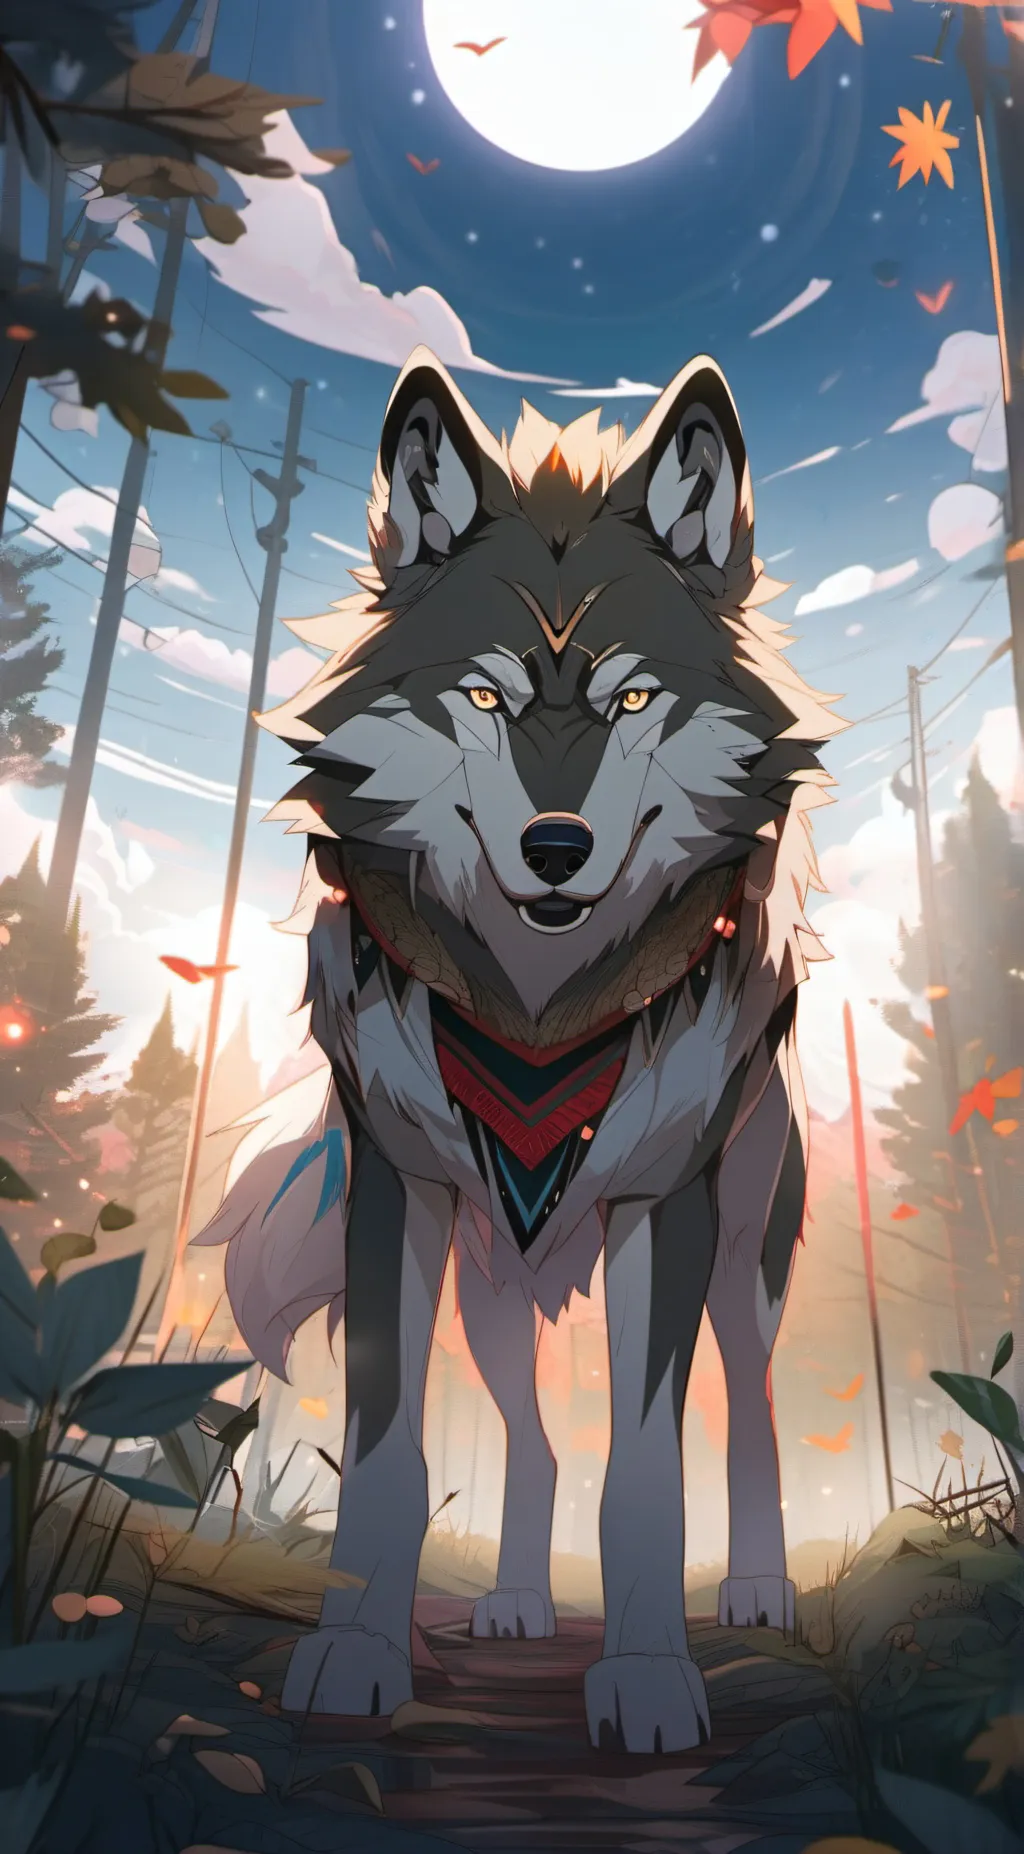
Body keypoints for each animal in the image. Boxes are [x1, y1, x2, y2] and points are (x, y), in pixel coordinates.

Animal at [195, 344, 843, 1754]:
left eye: (634, 696)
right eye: (483, 695)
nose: (556, 847)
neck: (539, 1009)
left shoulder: (664, 1211)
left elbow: (646, 1473)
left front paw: (649, 1677)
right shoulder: (397, 1194)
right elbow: (388, 1456)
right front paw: (355, 1651)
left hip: (745, 1260)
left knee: (753, 1409)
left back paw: (757, 1589)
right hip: (493, 1285)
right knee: (535, 1444)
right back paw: (514, 1605)